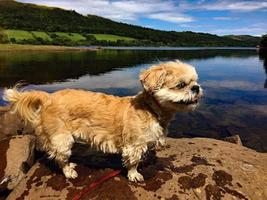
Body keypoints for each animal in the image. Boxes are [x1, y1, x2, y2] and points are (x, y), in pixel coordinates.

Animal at [2, 60, 203, 182]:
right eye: (181, 85)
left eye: (195, 81)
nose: (196, 88)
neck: (150, 109)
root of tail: (48, 97)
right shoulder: (134, 146)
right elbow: (133, 162)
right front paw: (134, 174)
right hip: (62, 139)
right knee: (60, 158)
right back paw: (69, 171)